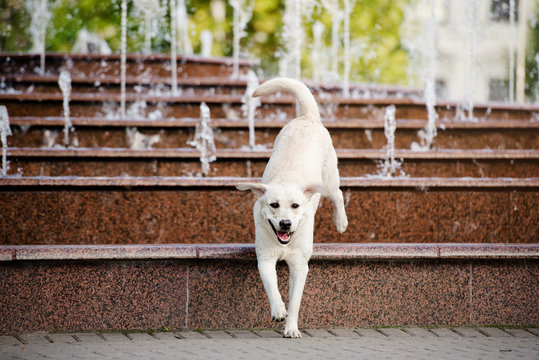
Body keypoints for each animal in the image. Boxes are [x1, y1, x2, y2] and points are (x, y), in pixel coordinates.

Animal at [237, 76, 350, 338]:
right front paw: (279, 310)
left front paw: (291, 327)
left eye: (296, 206)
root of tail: (307, 117)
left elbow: (296, 300)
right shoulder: (265, 257)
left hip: (329, 179)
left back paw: (340, 221)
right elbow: (272, 286)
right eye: (274, 205)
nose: (285, 223)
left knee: (338, 194)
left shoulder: (300, 265)